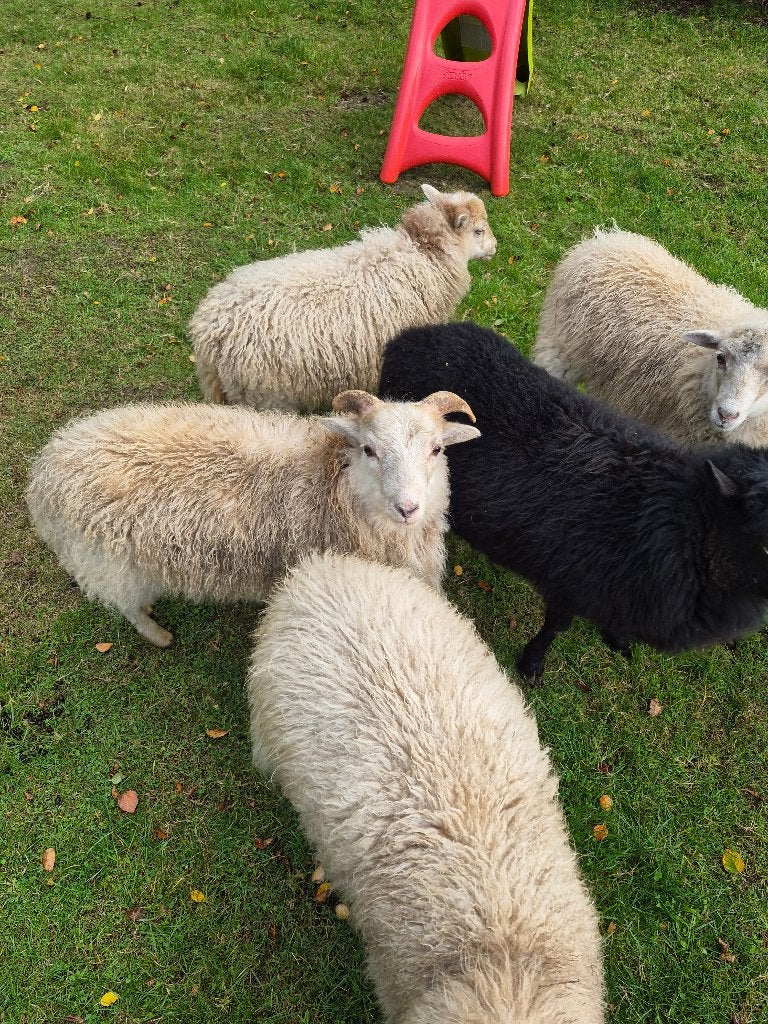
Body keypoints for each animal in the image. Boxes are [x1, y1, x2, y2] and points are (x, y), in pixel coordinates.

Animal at [25, 390, 479, 647]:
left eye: (437, 449)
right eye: (369, 449)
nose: (408, 508)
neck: (336, 485)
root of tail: (47, 469)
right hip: (110, 565)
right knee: (127, 607)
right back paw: (157, 634)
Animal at [379, 321, 768, 682]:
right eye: (763, 540)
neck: (679, 522)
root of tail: (414, 335)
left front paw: (617, 642)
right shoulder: (569, 579)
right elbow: (556, 626)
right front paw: (532, 666)